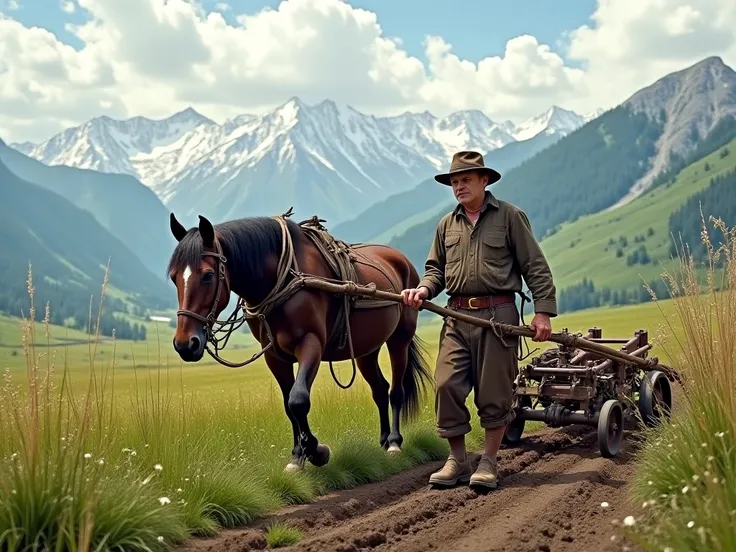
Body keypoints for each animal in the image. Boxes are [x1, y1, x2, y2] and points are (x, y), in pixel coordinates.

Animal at [167, 213, 432, 472]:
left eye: (208, 275)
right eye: (173, 277)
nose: (185, 344)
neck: (282, 279)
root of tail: (401, 260)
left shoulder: (310, 344)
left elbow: (298, 400)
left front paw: (316, 451)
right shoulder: (274, 356)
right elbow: (288, 405)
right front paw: (297, 456)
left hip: (399, 339)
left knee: (396, 391)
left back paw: (395, 442)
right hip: (367, 349)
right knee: (380, 389)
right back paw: (384, 439)